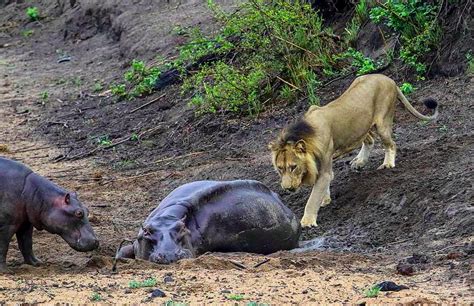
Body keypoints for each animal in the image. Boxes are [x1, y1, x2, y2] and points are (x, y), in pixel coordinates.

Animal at [268, 73, 438, 227]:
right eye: (280, 168)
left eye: (293, 167)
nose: (287, 189)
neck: (307, 135)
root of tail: (389, 79)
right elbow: (324, 186)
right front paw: (325, 199)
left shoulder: (324, 166)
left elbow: (313, 197)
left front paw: (307, 221)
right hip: (363, 125)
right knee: (369, 140)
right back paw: (360, 162)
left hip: (382, 123)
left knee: (391, 144)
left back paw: (387, 164)